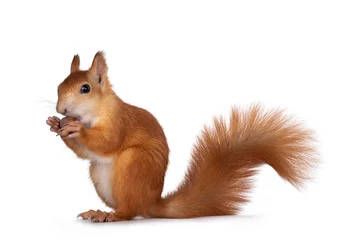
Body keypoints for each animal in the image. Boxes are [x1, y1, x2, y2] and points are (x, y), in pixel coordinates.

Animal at [45, 51, 318, 223]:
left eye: (85, 88)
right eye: (59, 86)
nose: (61, 109)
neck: (97, 112)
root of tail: (151, 201)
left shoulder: (119, 123)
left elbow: (107, 142)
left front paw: (75, 129)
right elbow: (85, 152)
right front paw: (55, 124)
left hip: (134, 163)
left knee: (130, 211)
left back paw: (110, 215)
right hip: (99, 173)